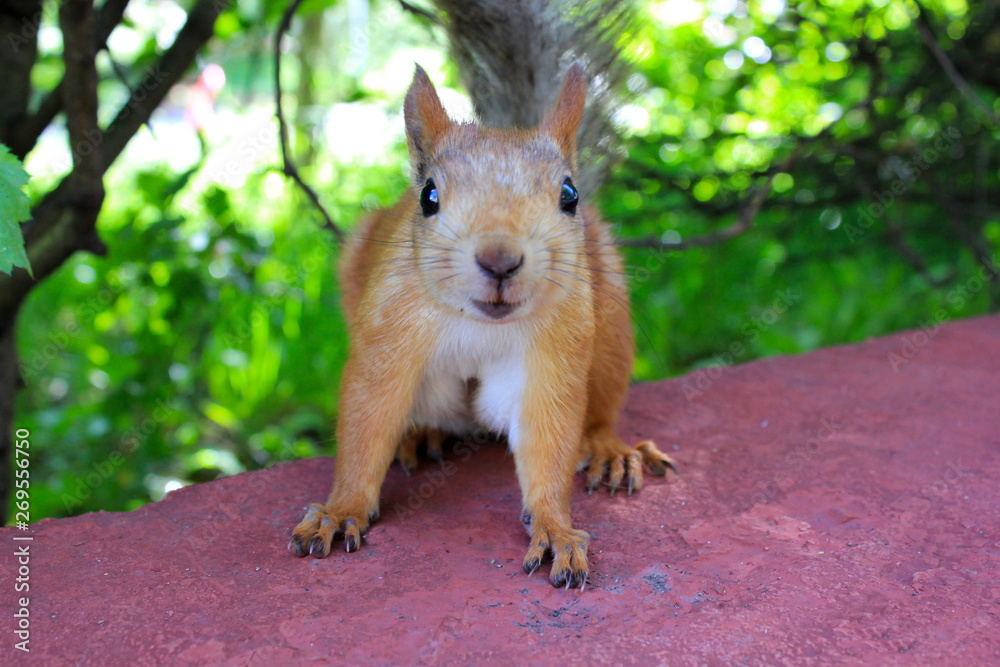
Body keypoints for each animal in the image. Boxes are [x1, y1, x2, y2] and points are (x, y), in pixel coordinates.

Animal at [288, 62, 677, 589]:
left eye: (570, 194)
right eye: (429, 195)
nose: (500, 260)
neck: (478, 321)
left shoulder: (555, 352)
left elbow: (549, 438)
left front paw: (555, 527)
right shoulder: (386, 336)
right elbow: (365, 426)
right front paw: (339, 510)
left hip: (610, 322)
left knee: (597, 413)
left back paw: (607, 448)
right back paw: (420, 435)